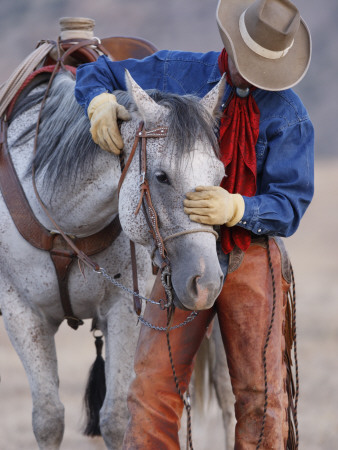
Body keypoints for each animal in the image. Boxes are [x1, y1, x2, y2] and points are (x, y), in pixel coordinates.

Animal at [0, 67, 235, 450]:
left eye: (220, 177)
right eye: (161, 176)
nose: (206, 282)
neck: (64, 222)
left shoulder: (124, 310)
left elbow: (115, 418)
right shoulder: (21, 312)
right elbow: (48, 419)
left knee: (228, 397)